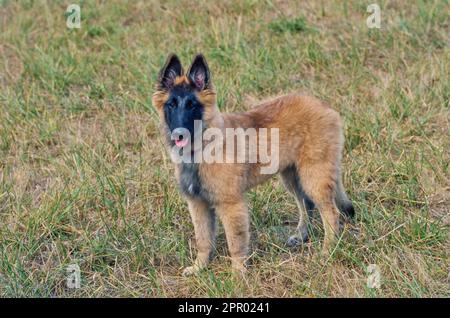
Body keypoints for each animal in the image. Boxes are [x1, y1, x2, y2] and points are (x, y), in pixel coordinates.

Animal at [153, 53, 354, 274]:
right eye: (171, 105)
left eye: (192, 105)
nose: (179, 135)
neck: (204, 146)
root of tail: (324, 106)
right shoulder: (198, 204)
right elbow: (203, 239)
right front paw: (199, 267)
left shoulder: (231, 204)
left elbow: (235, 242)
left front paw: (238, 273)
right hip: (292, 176)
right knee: (306, 204)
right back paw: (302, 236)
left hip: (314, 175)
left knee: (331, 213)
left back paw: (328, 252)